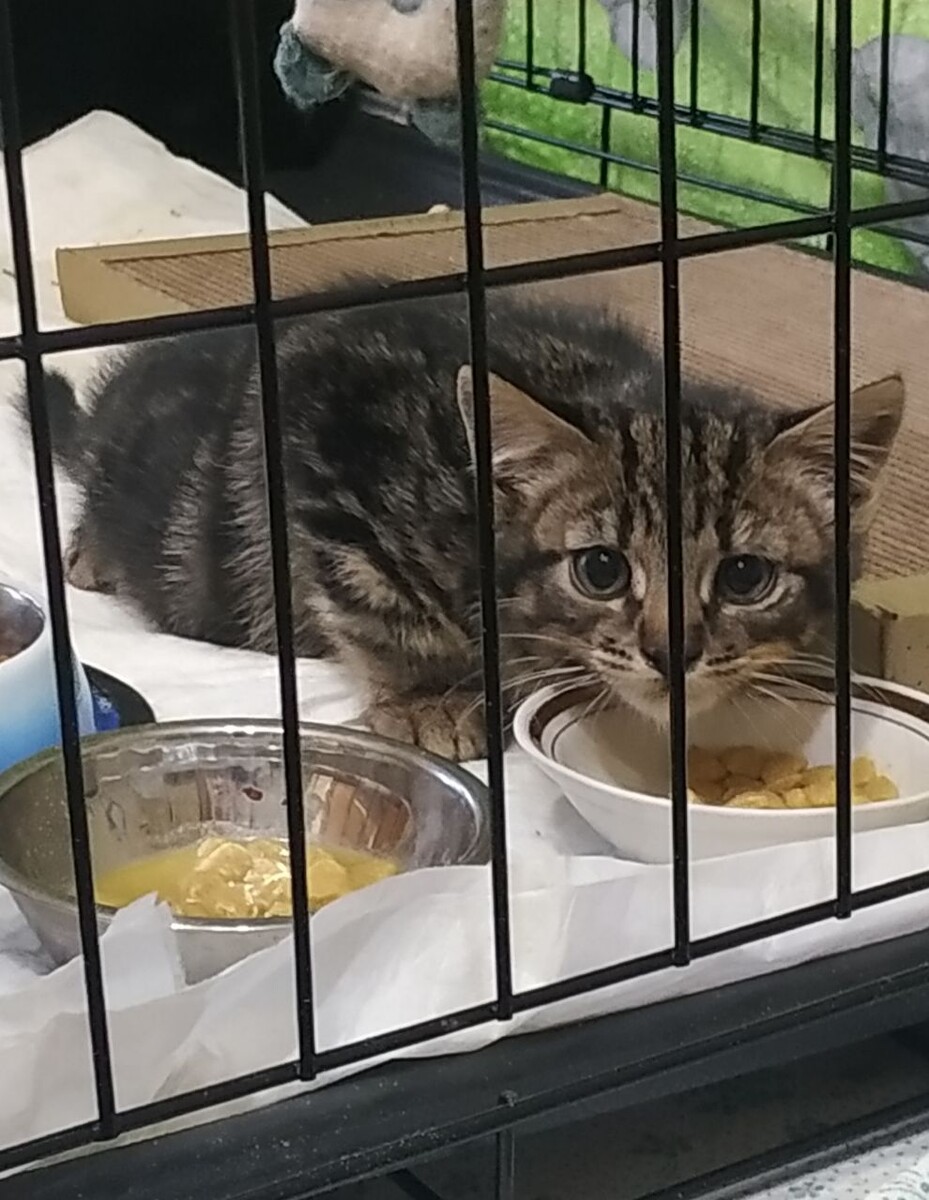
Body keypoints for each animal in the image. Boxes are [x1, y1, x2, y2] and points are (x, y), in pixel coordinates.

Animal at [29, 291, 903, 761]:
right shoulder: (325, 439)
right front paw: (432, 696)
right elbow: (376, 602)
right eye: (600, 569)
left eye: (745, 577)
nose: (670, 652)